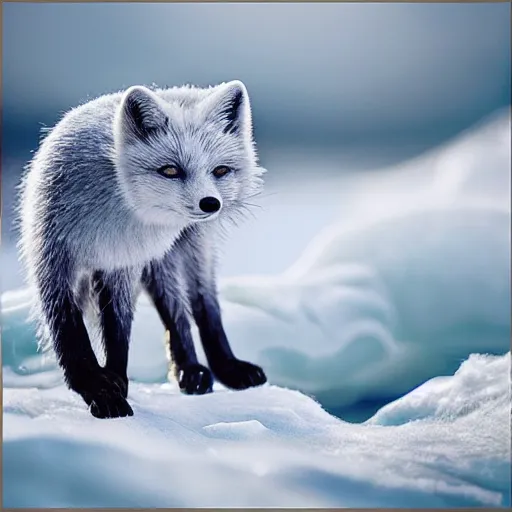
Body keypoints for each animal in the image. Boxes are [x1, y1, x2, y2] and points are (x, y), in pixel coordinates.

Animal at [19, 79, 268, 416]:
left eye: (220, 171)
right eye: (170, 171)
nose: (210, 203)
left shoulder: (124, 263)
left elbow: (119, 329)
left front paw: (114, 381)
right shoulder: (53, 257)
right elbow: (70, 333)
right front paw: (99, 387)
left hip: (190, 250)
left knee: (200, 306)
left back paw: (215, 366)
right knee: (175, 309)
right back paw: (188, 369)